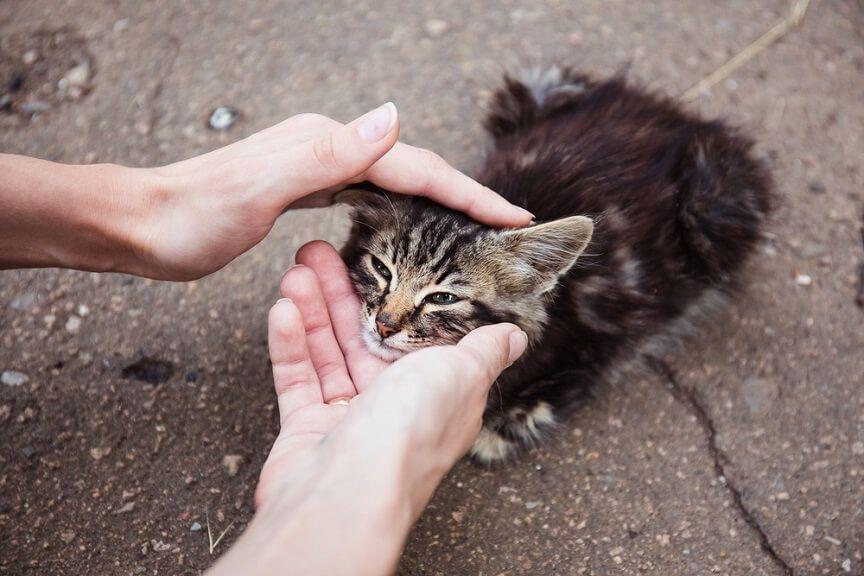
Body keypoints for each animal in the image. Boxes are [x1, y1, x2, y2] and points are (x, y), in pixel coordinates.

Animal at [340, 67, 772, 464]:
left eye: (443, 298)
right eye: (382, 270)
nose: (384, 325)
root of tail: (675, 116)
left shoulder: (595, 335)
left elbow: (578, 373)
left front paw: (508, 420)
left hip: (712, 208)